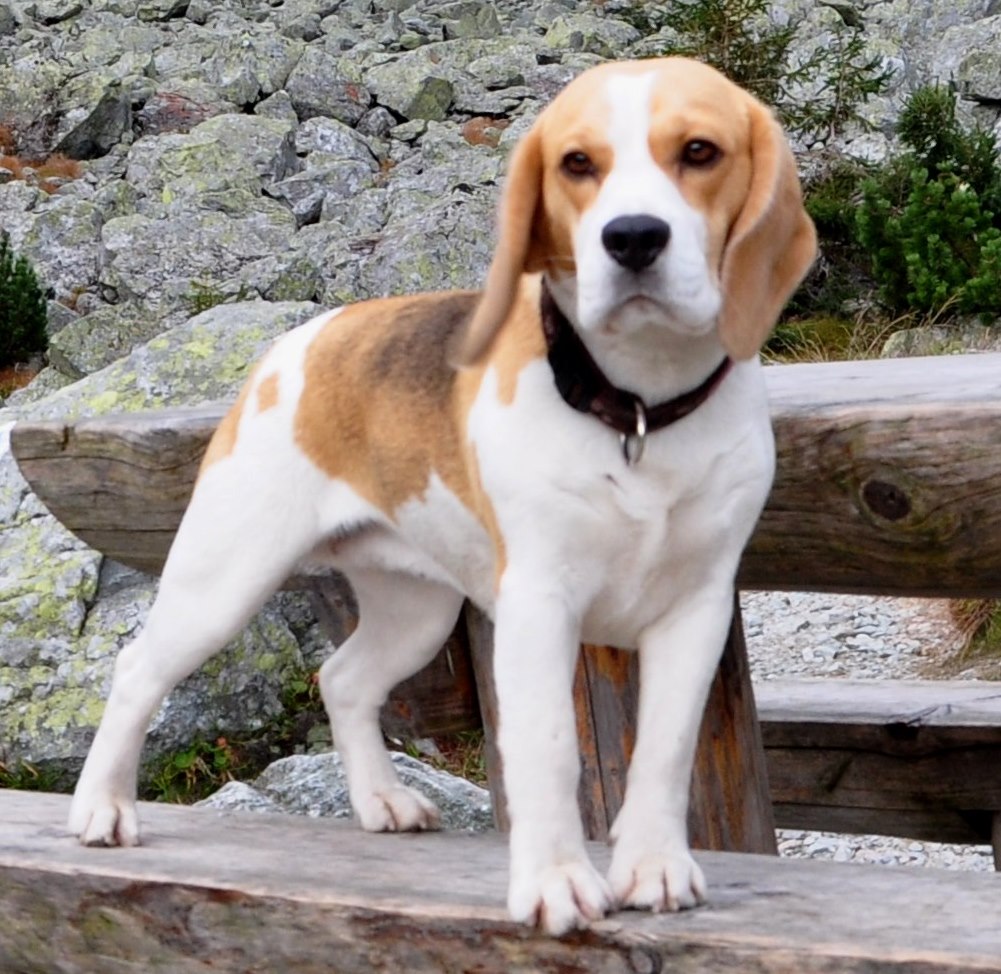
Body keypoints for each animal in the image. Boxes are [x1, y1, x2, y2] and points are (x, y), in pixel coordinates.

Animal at [68, 57, 816, 935]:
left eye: (699, 151)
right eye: (576, 164)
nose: (631, 237)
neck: (635, 409)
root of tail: (298, 342)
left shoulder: (696, 608)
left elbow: (663, 751)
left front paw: (653, 868)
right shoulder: (538, 607)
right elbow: (547, 750)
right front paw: (557, 883)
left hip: (415, 610)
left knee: (343, 681)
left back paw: (381, 800)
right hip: (222, 582)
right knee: (136, 671)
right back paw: (101, 809)